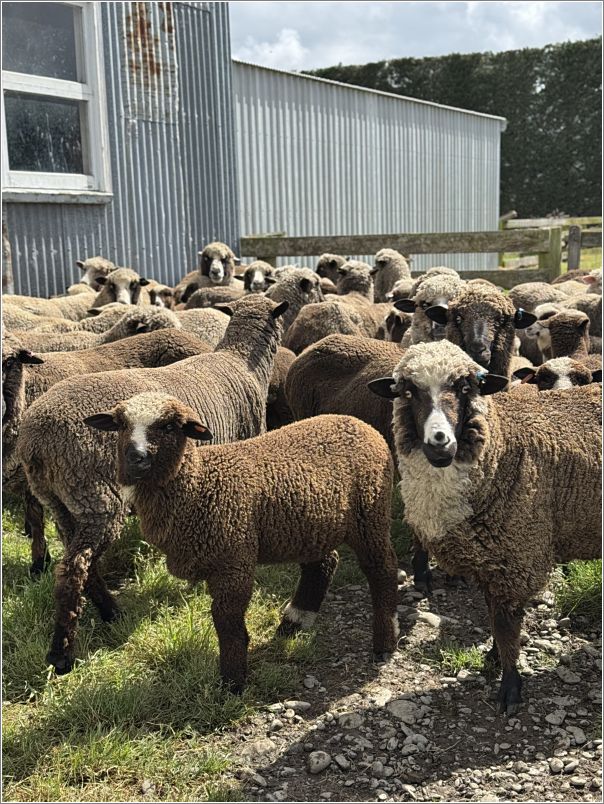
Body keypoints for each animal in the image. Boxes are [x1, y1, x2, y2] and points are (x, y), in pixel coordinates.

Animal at [18, 296, 290, 672]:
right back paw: (62, 653)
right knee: (74, 569)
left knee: (80, 562)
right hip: (97, 496)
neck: (242, 364)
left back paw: (111, 612)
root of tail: (35, 441)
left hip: (62, 502)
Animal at [84, 400, 396, 692]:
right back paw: (293, 623)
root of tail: (359, 424)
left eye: (169, 426)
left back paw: (385, 642)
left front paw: (232, 683)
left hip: (370, 513)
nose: (135, 458)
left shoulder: (233, 561)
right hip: (312, 526)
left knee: (382, 568)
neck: (199, 485)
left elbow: (226, 622)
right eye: (121, 425)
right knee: (323, 564)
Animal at [368, 336, 600, 712]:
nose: (440, 441)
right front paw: (494, 657)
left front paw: (510, 686)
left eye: (466, 387)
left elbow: (505, 625)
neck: (502, 448)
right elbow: (494, 616)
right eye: (408, 391)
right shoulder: (490, 560)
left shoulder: (516, 555)